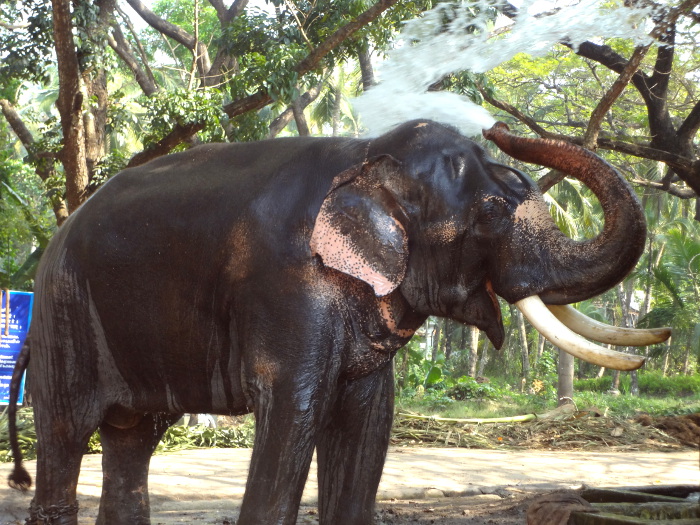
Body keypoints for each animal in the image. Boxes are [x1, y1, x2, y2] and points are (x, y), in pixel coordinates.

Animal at [6, 119, 672, 524]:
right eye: (489, 215)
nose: (498, 129)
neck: (367, 155)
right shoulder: (288, 287)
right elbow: (297, 408)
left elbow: (369, 415)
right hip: (65, 310)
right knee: (66, 430)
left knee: (133, 436)